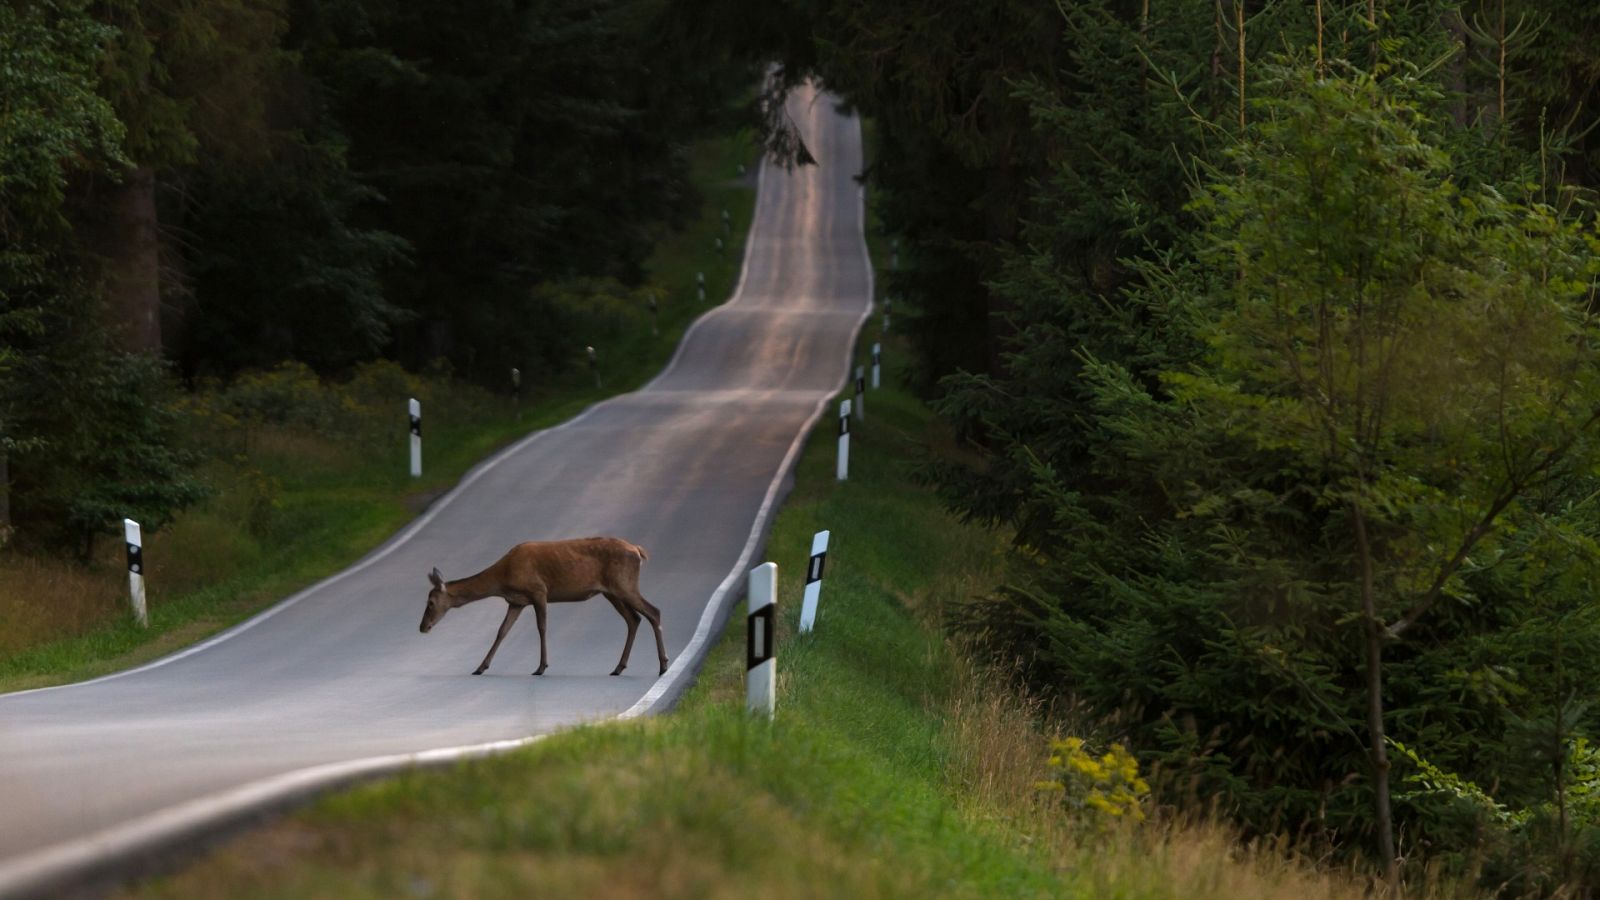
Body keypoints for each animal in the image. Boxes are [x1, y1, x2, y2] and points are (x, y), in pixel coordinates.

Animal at [419, 531, 668, 672]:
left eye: (430, 602)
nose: (422, 627)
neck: (503, 578)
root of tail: (638, 551)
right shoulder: (516, 601)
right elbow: (502, 631)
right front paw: (481, 667)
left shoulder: (538, 590)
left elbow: (541, 627)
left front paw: (541, 667)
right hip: (612, 592)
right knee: (634, 619)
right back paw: (619, 667)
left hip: (624, 584)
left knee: (653, 611)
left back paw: (663, 665)